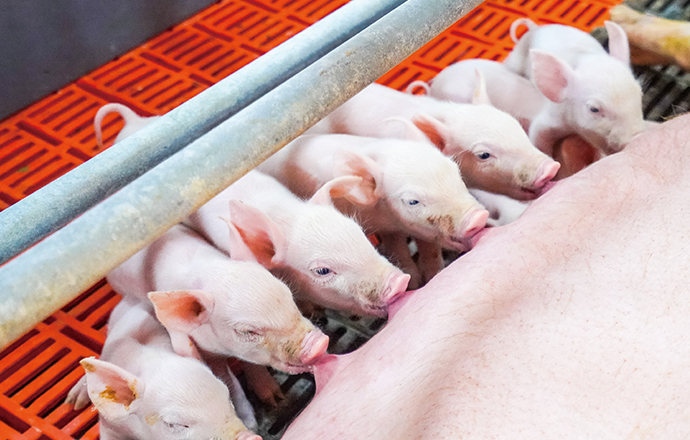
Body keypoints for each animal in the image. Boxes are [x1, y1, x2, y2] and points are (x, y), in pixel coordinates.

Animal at [257, 134, 488, 287]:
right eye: (412, 201)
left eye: (456, 172)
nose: (478, 217)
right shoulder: (388, 229)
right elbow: (398, 252)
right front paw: (413, 282)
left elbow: (429, 249)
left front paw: (433, 275)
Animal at [502, 19, 645, 156]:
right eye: (593, 109)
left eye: (640, 93)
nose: (637, 136)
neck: (572, 129)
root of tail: (536, 28)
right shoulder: (549, 118)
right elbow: (538, 136)